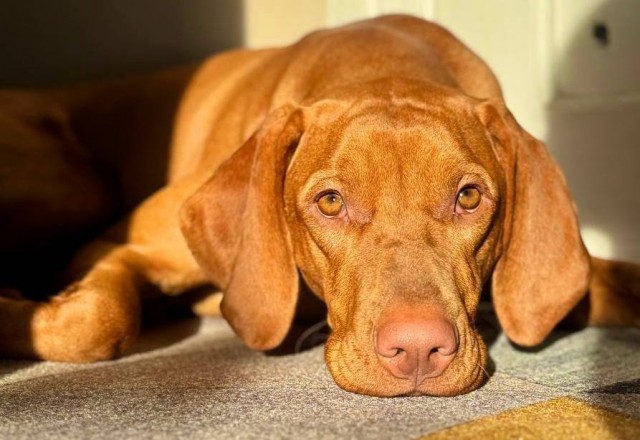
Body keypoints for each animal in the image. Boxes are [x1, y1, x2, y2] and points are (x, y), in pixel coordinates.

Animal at [1, 15, 639, 397]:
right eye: (331, 202)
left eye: (469, 197)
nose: (417, 351)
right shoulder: (114, 244)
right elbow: (100, 319)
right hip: (77, 185)